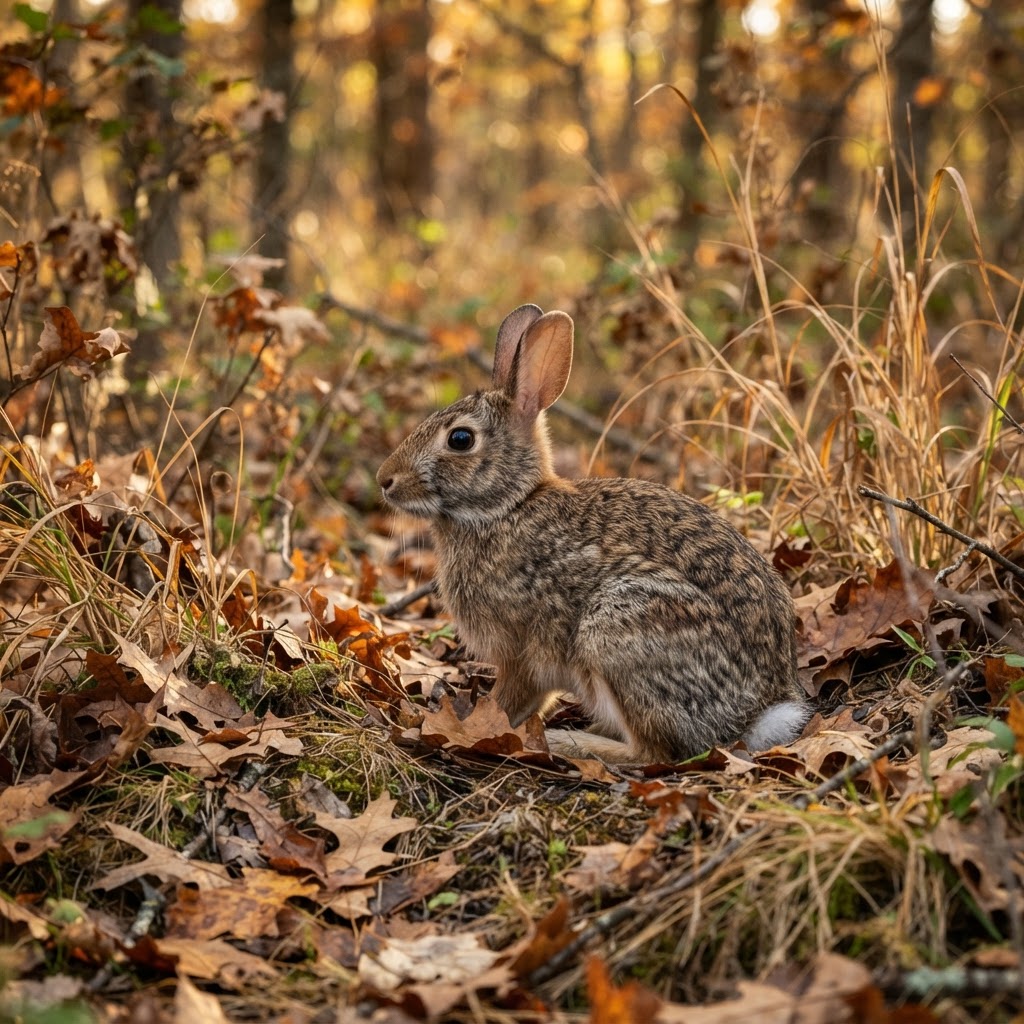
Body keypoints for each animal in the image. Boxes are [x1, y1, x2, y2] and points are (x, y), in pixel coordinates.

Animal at [376, 303, 809, 764]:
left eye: (460, 439)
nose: (385, 479)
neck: (508, 507)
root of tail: (755, 714)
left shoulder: (520, 650)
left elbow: (510, 701)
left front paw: (475, 727)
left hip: (618, 630)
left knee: (654, 753)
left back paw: (568, 743)